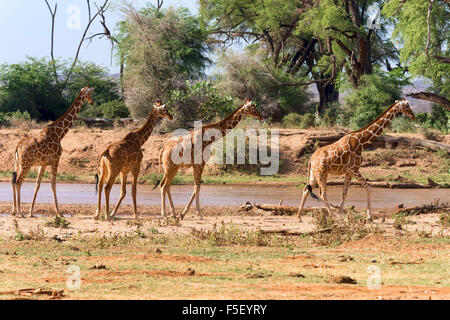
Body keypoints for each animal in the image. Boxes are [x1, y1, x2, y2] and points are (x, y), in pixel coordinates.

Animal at [11, 85, 95, 218]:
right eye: (89, 94)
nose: (92, 102)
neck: (60, 134)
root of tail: (17, 146)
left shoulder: (43, 164)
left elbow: (37, 185)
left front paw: (31, 212)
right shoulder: (56, 160)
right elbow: (53, 184)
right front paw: (59, 212)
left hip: (19, 164)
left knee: (14, 181)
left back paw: (14, 211)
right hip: (26, 165)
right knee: (19, 182)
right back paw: (20, 212)